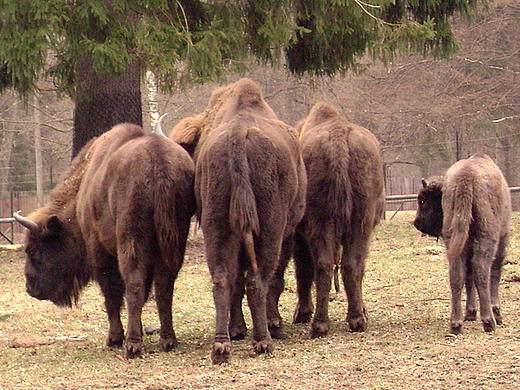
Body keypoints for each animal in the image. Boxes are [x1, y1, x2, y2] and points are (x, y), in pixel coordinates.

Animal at [14, 123, 197, 358]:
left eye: (32, 250)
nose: (30, 287)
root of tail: (158, 161)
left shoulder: (99, 251)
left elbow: (111, 293)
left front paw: (114, 338)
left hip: (131, 241)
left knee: (134, 284)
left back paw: (132, 346)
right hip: (174, 241)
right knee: (164, 285)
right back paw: (168, 340)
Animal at [169, 77, 306, 364]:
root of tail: (238, 136)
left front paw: (238, 329)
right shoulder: (285, 233)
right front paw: (273, 325)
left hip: (216, 225)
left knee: (222, 278)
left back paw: (221, 346)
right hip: (270, 229)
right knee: (258, 279)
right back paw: (264, 340)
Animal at [268, 101, 386, 338]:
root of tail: (338, 136)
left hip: (337, 222)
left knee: (331, 265)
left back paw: (331, 322)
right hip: (347, 223)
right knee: (341, 265)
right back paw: (342, 321)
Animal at [414, 154, 512, 334]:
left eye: (423, 201)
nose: (417, 223)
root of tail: (466, 178)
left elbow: (467, 277)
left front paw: (470, 313)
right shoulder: (502, 239)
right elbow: (493, 273)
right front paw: (496, 312)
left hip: (454, 237)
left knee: (457, 274)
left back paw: (456, 323)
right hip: (487, 237)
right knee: (482, 271)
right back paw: (489, 321)